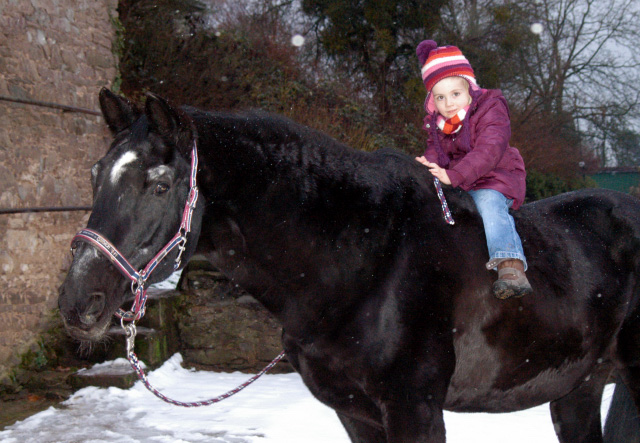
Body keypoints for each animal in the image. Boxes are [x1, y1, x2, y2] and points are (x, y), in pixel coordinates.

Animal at [58, 88, 640, 442]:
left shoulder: (414, 410)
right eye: (93, 175)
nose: (76, 301)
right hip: (578, 386)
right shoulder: (354, 413)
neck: (362, 260)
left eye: (159, 186)